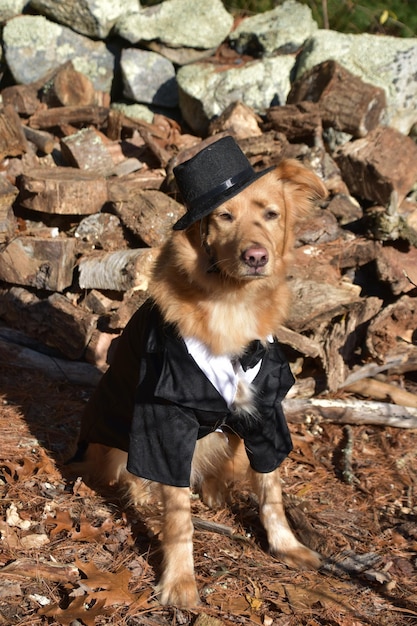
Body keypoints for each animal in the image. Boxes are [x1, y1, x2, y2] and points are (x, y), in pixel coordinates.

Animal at [73, 139, 330, 608]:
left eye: (271, 214)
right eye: (224, 216)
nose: (256, 256)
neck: (231, 304)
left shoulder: (266, 410)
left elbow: (271, 492)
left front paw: (286, 546)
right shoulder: (165, 418)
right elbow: (179, 517)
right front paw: (180, 581)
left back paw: (214, 491)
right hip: (117, 451)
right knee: (134, 479)